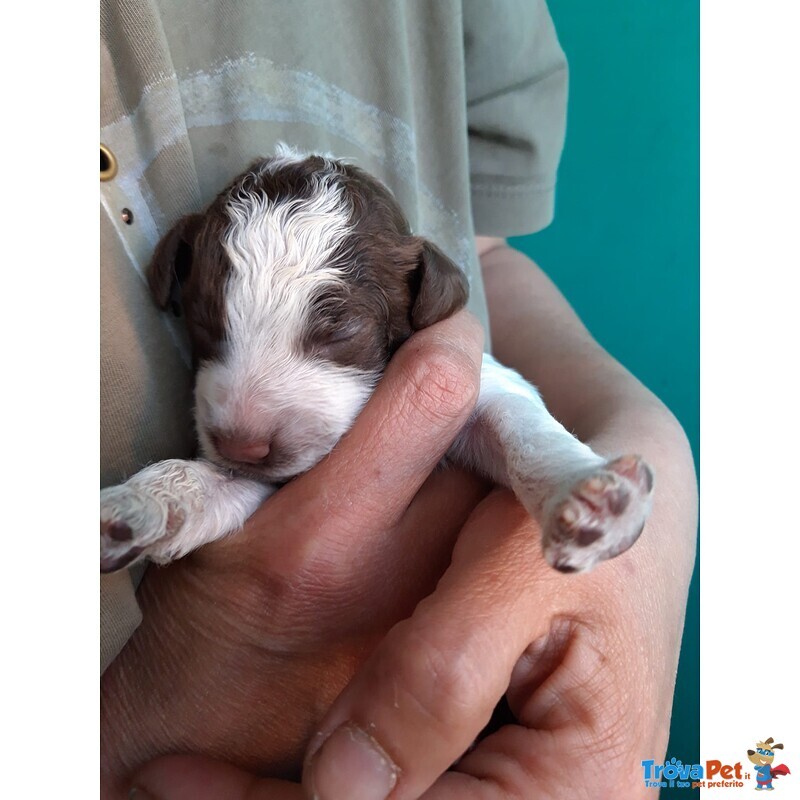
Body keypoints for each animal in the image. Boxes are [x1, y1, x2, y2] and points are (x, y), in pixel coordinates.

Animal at [100, 148, 652, 576]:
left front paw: (585, 497)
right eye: (203, 323)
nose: (240, 447)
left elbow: (522, 427)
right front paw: (148, 501)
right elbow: (220, 484)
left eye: (341, 332)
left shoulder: (490, 385)